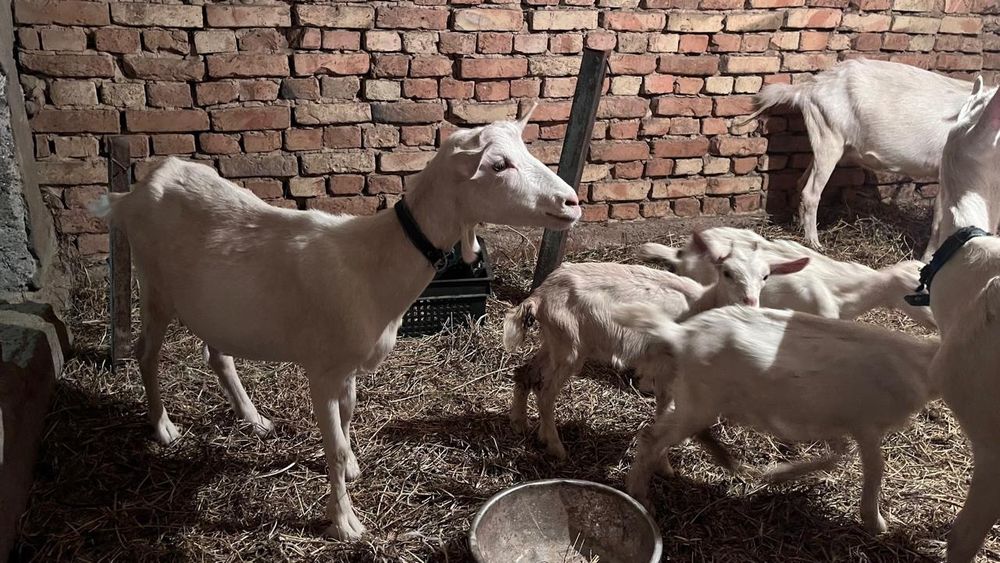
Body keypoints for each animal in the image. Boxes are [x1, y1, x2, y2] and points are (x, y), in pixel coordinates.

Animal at [90, 111, 582, 541]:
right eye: (499, 165)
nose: (572, 202)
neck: (374, 263)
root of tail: (134, 193)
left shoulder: (348, 367)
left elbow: (346, 427)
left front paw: (351, 470)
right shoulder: (323, 371)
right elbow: (334, 443)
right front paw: (346, 524)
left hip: (215, 307)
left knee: (217, 353)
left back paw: (255, 419)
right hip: (153, 286)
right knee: (146, 352)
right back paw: (164, 428)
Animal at [503, 232, 808, 459]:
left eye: (766, 277)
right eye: (727, 273)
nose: (750, 304)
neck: (703, 303)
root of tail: (539, 295)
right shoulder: (667, 365)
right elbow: (665, 406)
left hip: (556, 340)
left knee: (525, 372)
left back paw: (520, 425)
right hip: (570, 346)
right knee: (546, 394)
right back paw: (556, 447)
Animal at [616, 304, 940, 534]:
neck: (920, 366)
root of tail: (680, 334)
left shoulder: (833, 419)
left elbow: (837, 455)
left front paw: (778, 474)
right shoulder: (866, 424)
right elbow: (875, 469)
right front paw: (877, 523)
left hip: (691, 396)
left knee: (661, 427)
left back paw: (675, 468)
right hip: (700, 402)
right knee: (651, 437)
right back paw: (641, 497)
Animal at [742, 58, 979, 254]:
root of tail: (809, 87)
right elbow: (940, 219)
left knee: (801, 182)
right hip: (829, 136)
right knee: (811, 192)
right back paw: (814, 243)